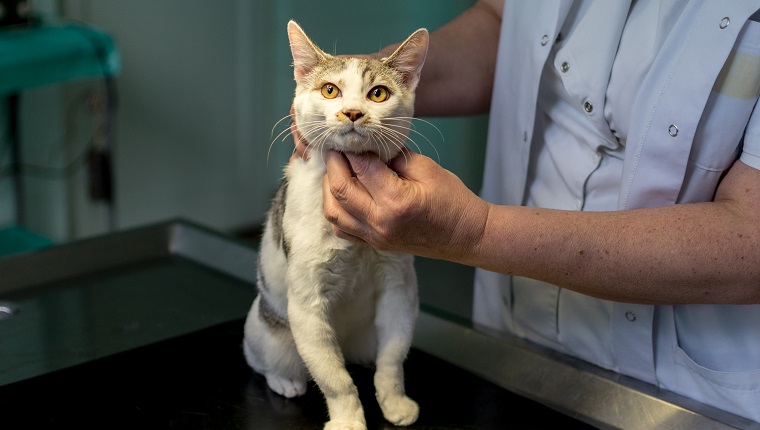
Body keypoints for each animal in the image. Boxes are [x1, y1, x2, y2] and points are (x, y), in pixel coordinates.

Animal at [242, 21, 428, 430]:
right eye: (330, 90)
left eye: (378, 93)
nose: (353, 112)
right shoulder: (306, 305)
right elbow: (335, 378)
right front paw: (348, 420)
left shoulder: (399, 290)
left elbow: (393, 361)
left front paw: (394, 401)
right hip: (269, 330)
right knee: (263, 360)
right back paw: (286, 381)